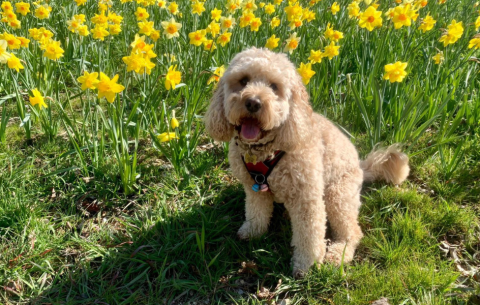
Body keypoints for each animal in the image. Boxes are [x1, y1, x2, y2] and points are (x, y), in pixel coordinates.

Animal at [204, 47, 410, 276]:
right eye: (243, 80)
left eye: (274, 86)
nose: (253, 102)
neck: (267, 150)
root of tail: (362, 168)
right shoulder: (253, 188)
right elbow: (256, 211)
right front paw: (253, 231)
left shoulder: (306, 198)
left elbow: (309, 235)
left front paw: (307, 265)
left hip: (337, 195)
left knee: (353, 231)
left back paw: (338, 254)